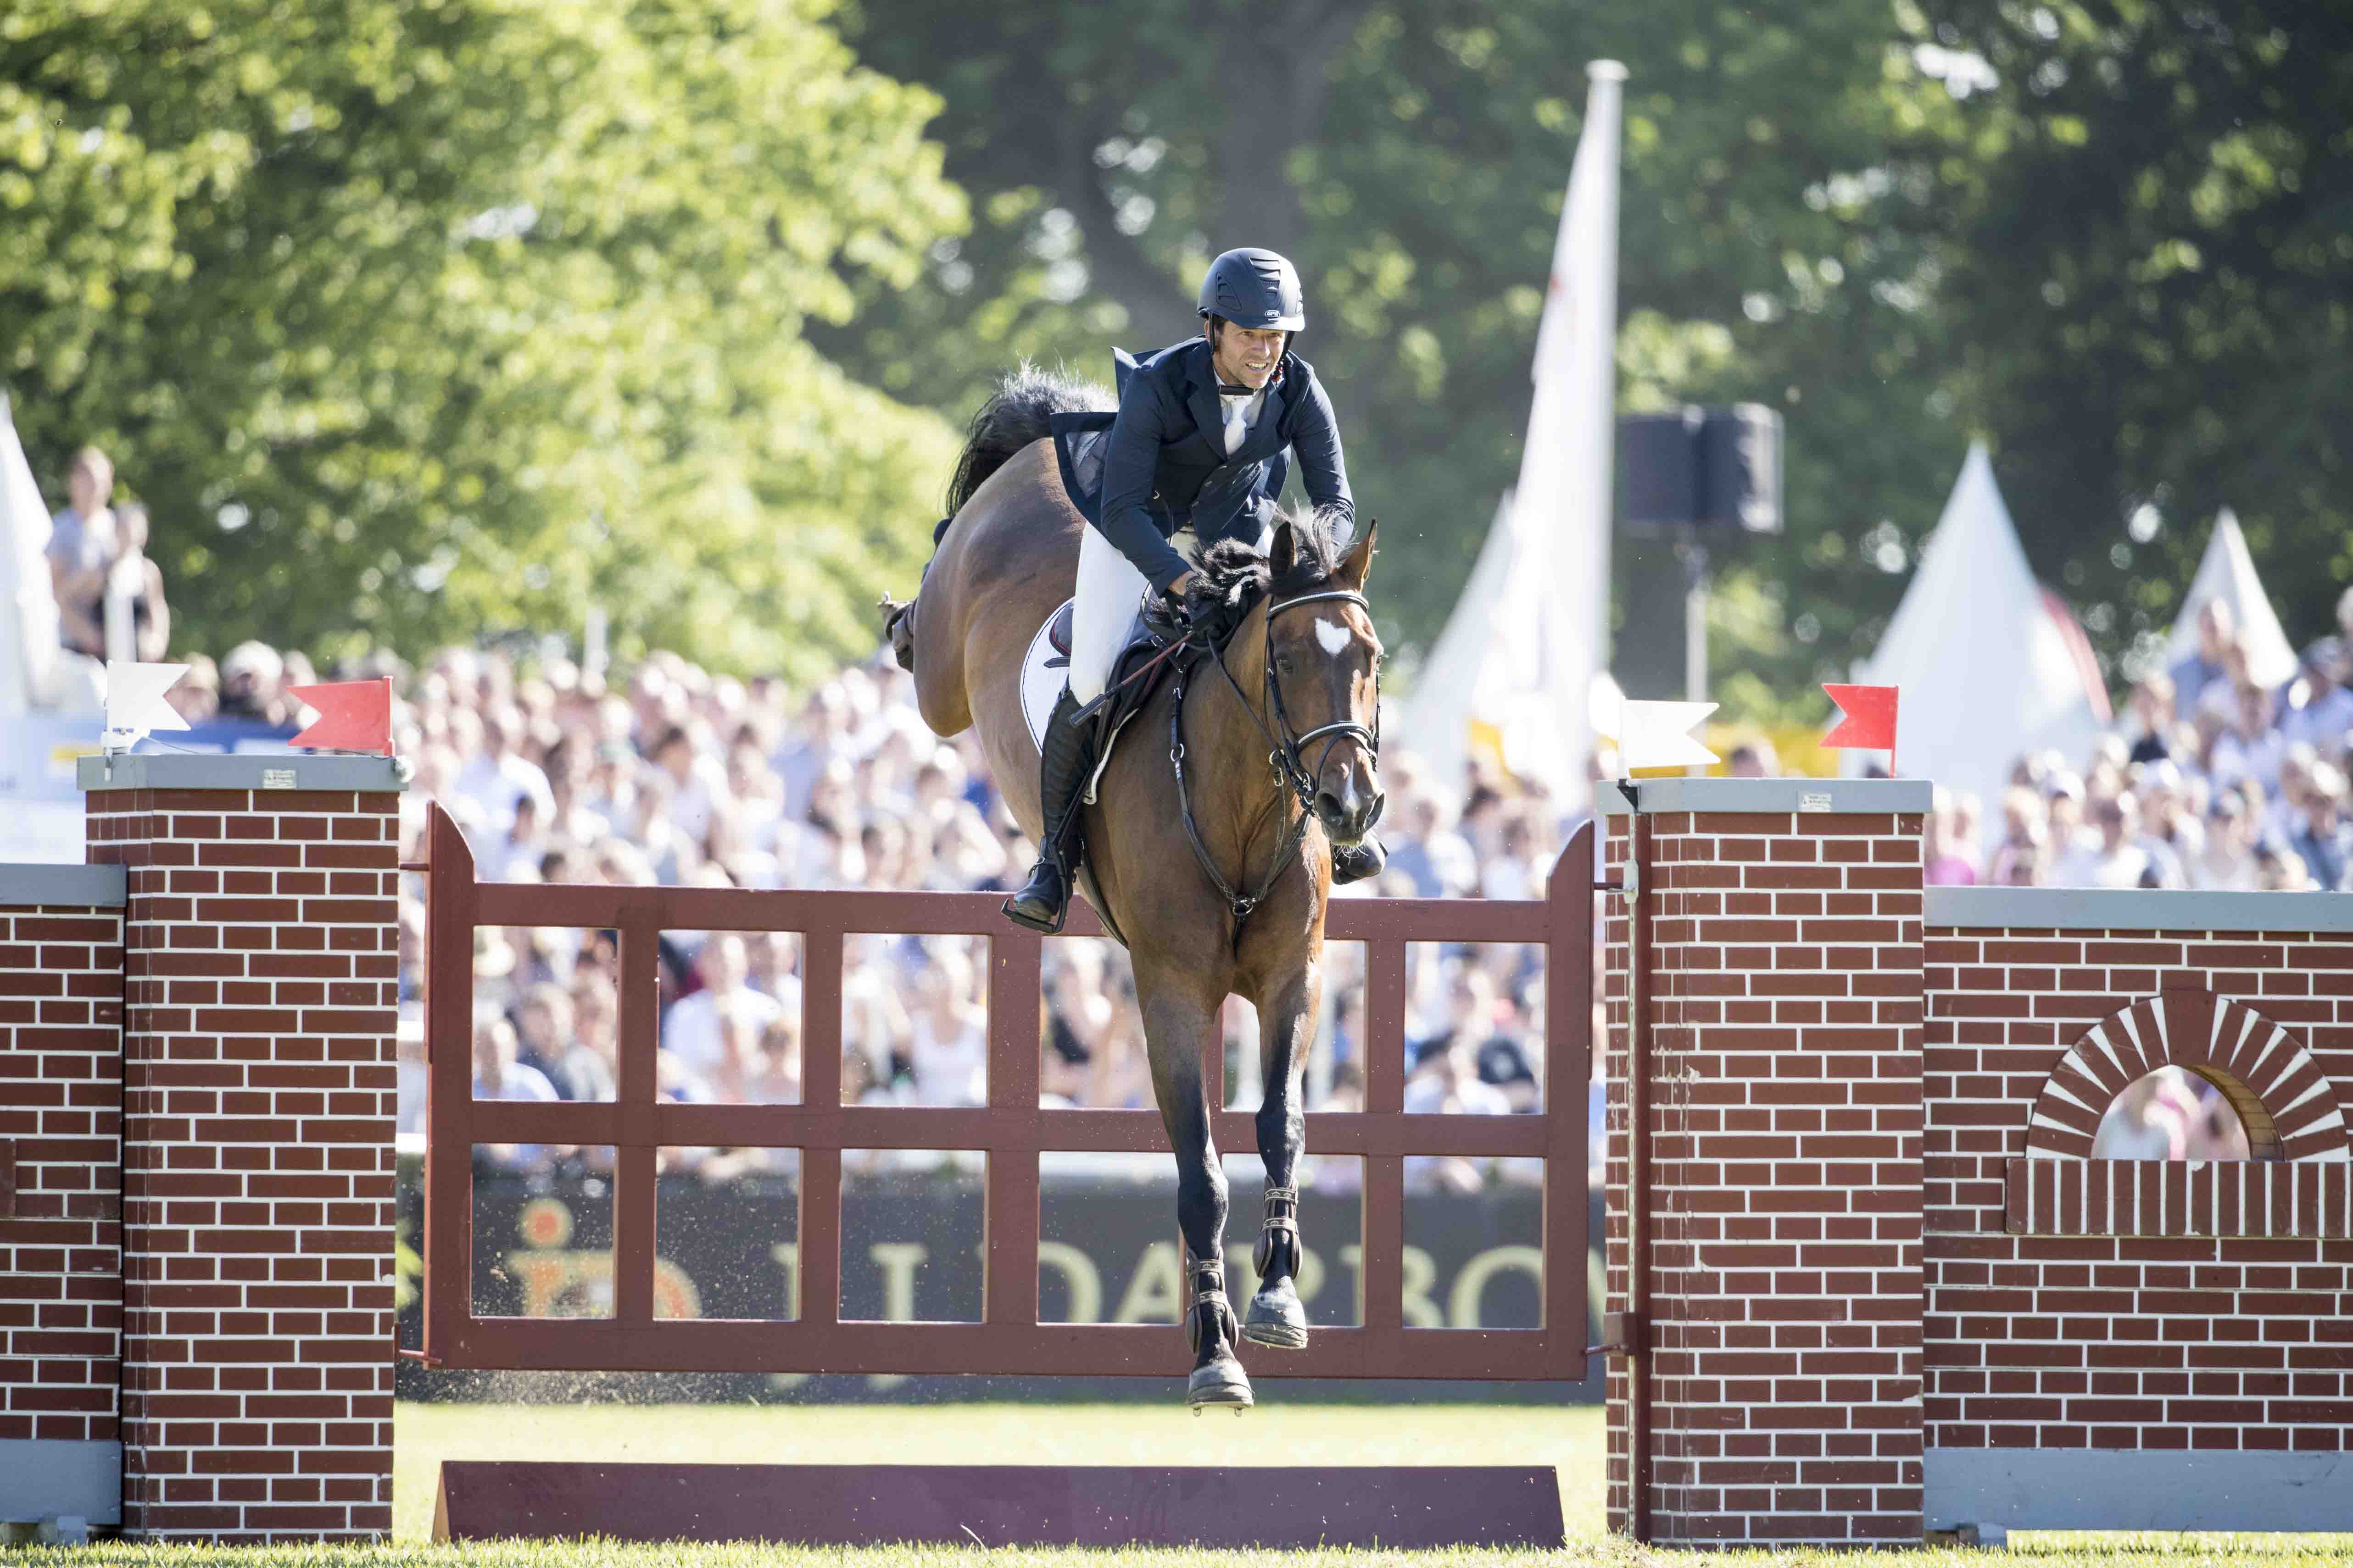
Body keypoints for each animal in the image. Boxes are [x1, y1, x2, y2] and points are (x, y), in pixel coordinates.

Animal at [894, 364, 1374, 1410]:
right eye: (1284, 660)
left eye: (1369, 660)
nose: (1349, 803)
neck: (1240, 809)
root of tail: (1052, 439)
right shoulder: (1170, 992)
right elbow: (1200, 1172)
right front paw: (1214, 1352)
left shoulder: (1292, 979)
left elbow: (1280, 1126)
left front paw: (1278, 1299)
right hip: (947, 671)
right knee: (930, 629)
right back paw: (899, 617)